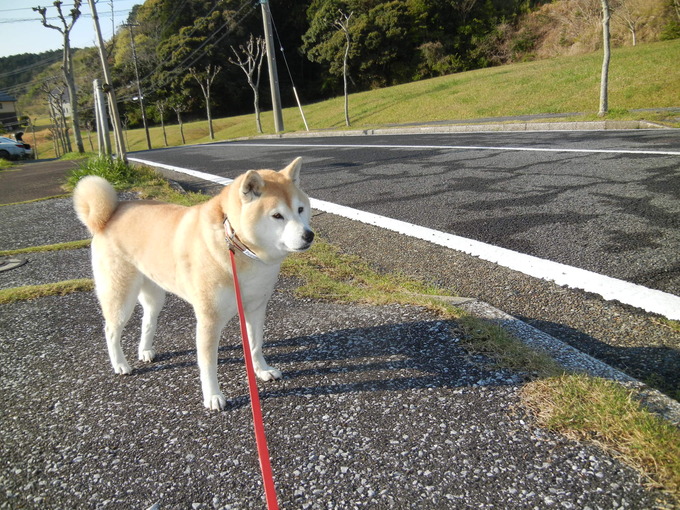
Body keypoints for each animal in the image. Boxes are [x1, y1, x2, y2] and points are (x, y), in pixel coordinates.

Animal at [73, 157, 314, 408]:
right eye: (277, 216)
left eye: (300, 209)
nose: (309, 235)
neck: (236, 246)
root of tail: (108, 216)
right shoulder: (209, 319)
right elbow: (208, 363)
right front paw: (213, 396)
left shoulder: (256, 307)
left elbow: (255, 345)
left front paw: (262, 370)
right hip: (121, 296)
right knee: (111, 330)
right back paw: (120, 364)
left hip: (154, 295)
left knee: (147, 320)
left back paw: (145, 351)